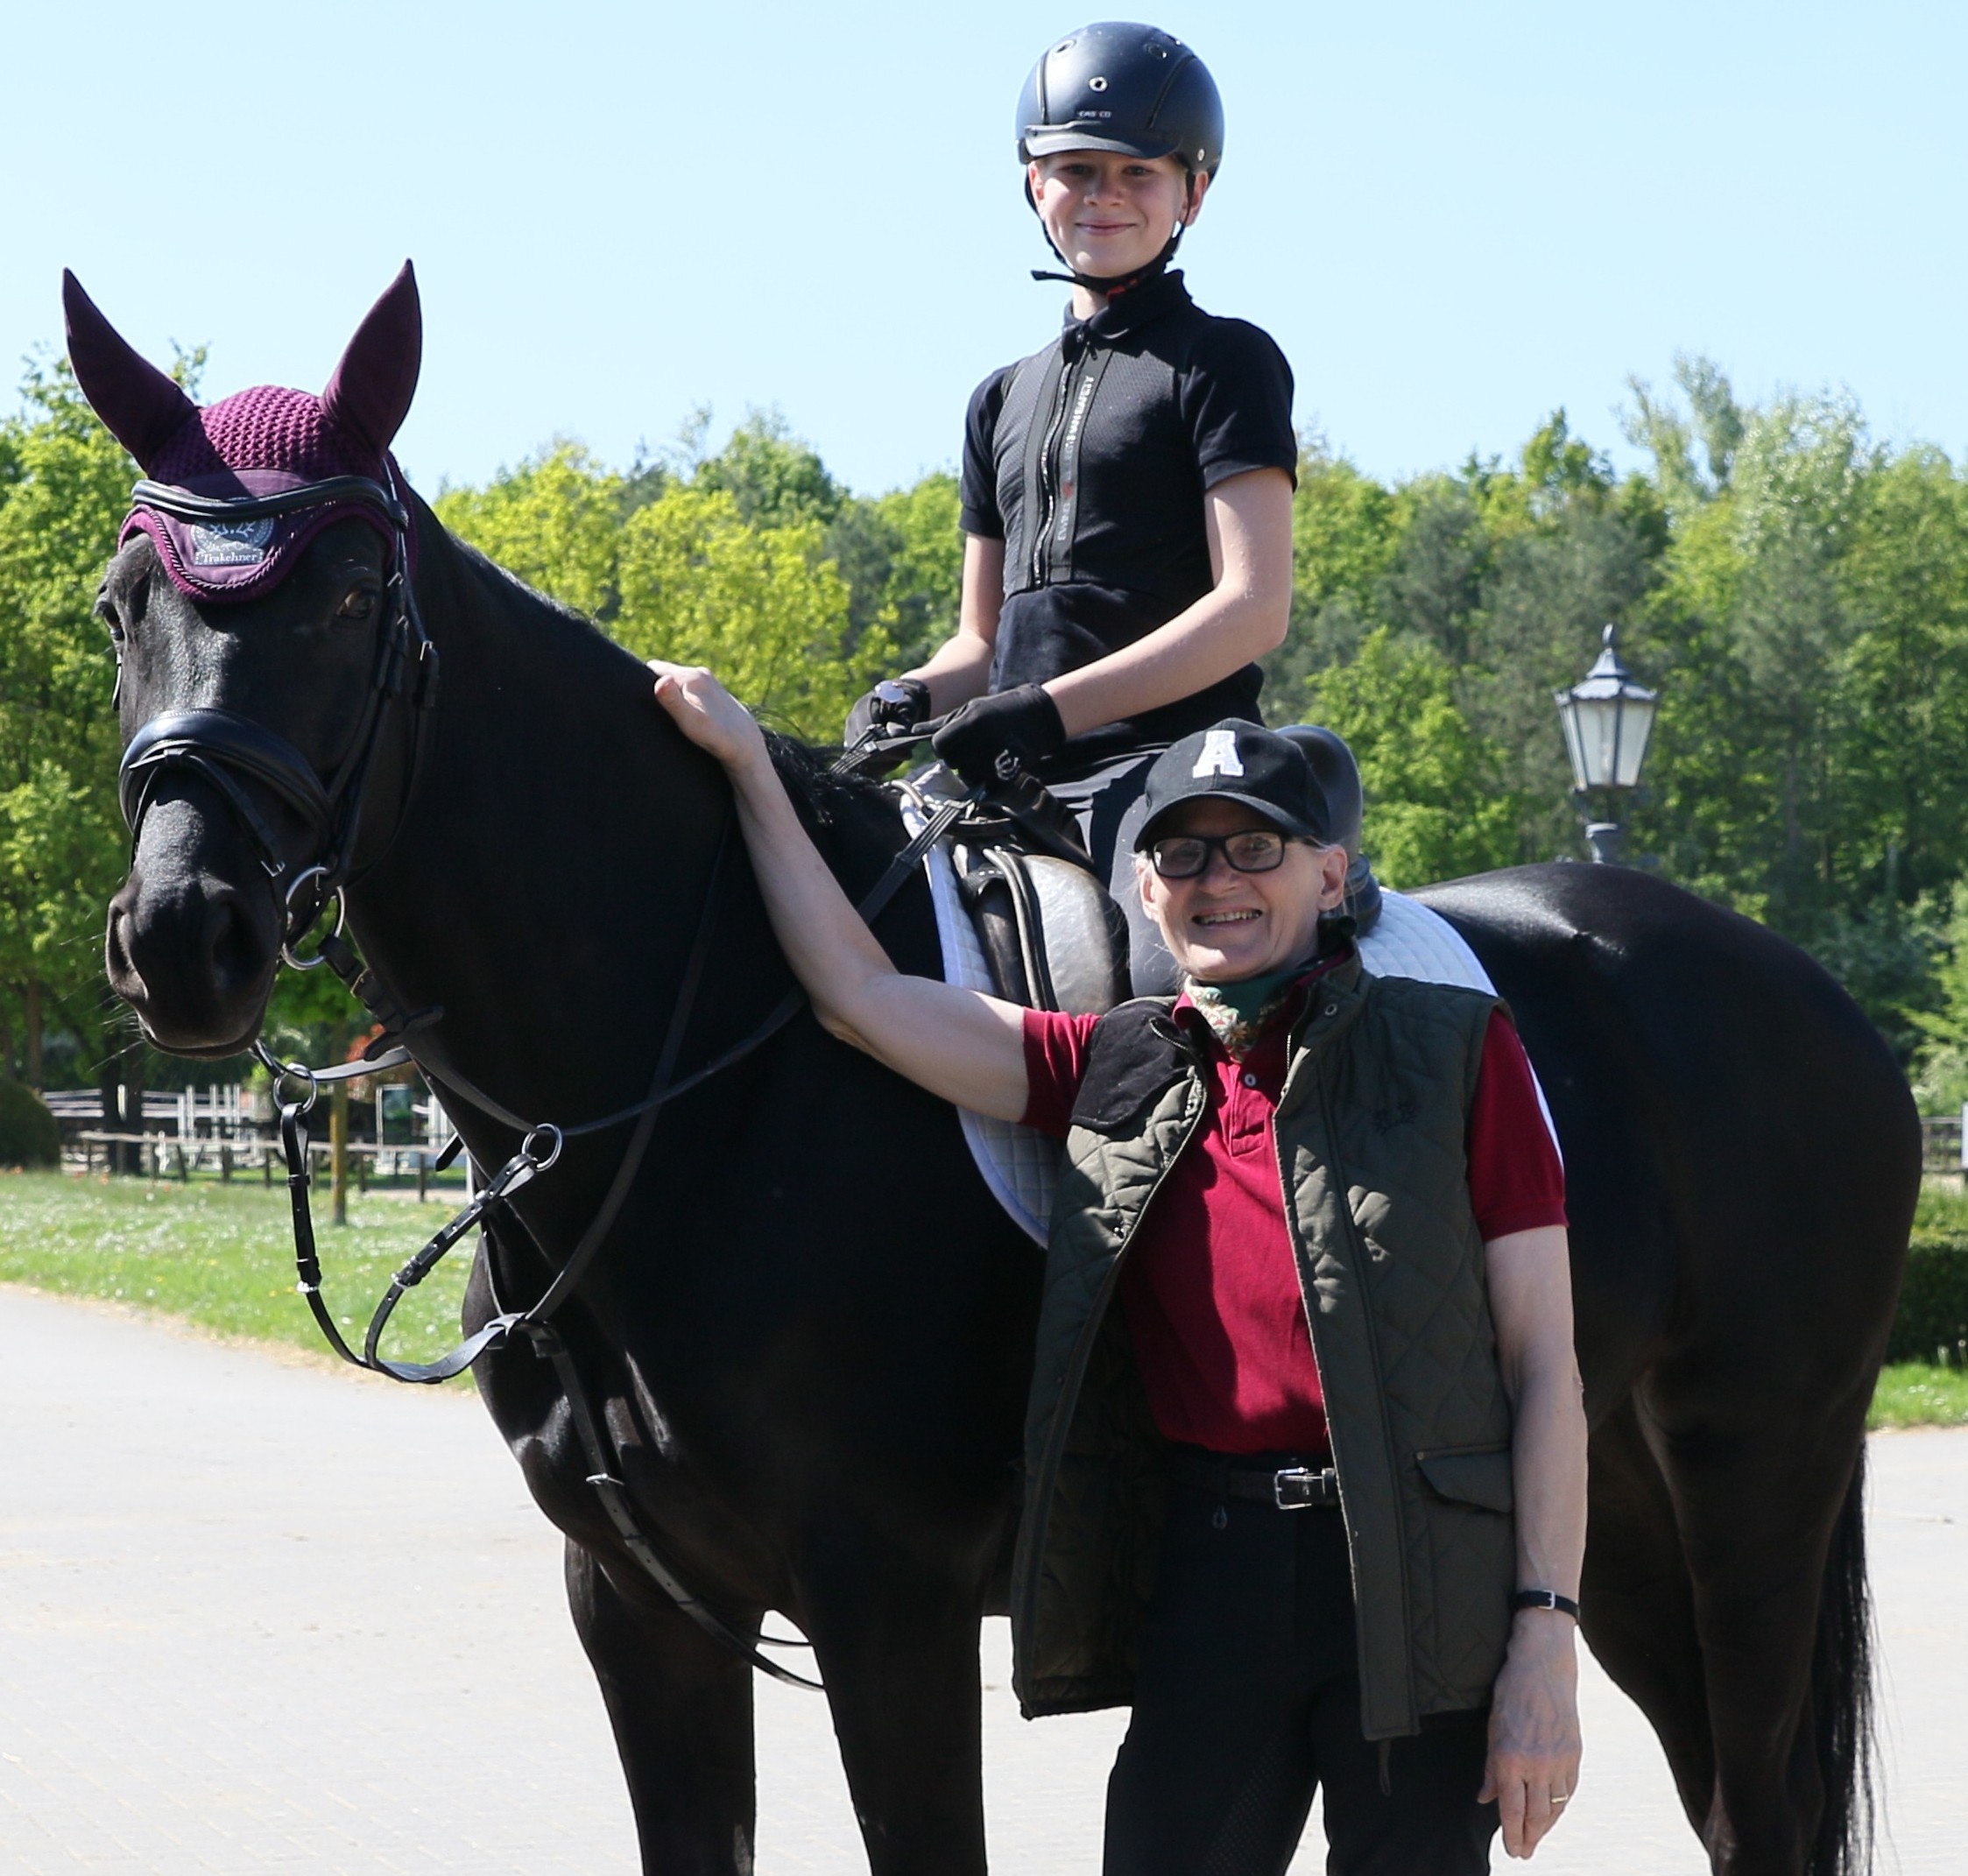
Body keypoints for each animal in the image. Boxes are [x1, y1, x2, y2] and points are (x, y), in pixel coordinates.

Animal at [66, 264, 1915, 1876]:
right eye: (121, 603)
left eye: (345, 596)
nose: (184, 931)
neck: (706, 1081)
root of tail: (1808, 1000)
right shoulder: (642, 1611)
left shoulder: (881, 1607)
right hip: (1597, 1509)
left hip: (1750, 1483)